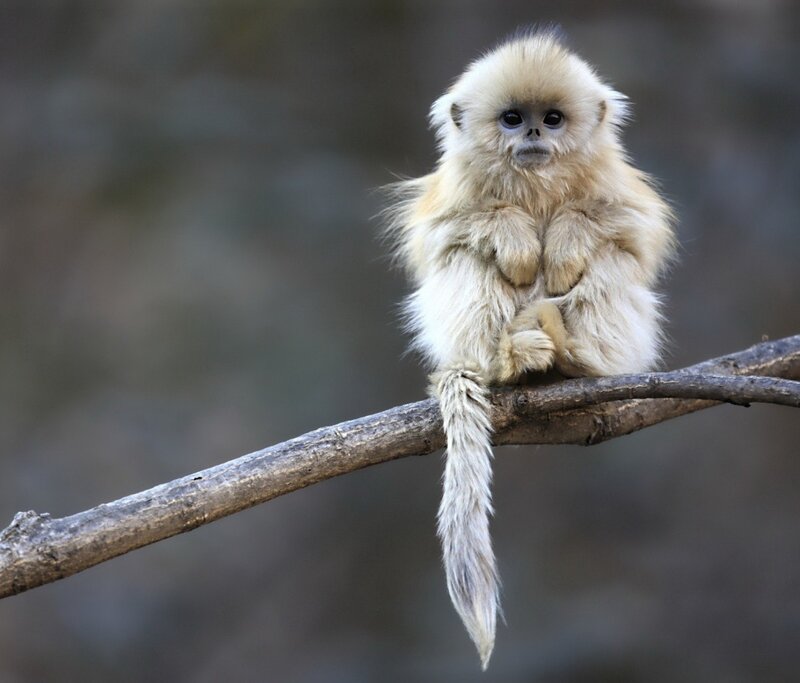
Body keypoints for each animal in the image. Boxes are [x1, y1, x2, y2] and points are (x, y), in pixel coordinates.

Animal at [384, 28, 675, 668]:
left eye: (554, 119)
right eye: (513, 119)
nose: (535, 135)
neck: (536, 185)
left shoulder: (617, 189)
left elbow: (630, 232)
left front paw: (563, 241)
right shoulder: (453, 195)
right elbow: (447, 235)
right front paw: (516, 238)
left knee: (610, 261)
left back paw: (573, 356)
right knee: (465, 258)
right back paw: (509, 360)